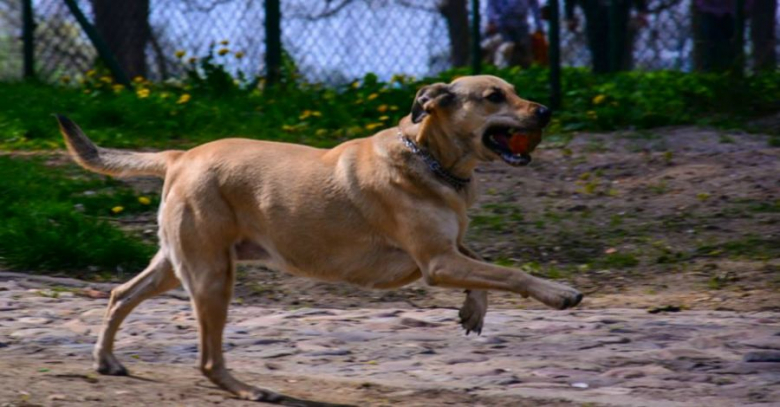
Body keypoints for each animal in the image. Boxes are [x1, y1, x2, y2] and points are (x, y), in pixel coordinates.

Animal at [56, 75, 580, 404]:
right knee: (206, 359)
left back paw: (105, 359)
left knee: (121, 294)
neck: (429, 158)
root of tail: (180, 156)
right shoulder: (436, 260)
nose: (547, 110)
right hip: (211, 276)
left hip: (177, 264)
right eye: (494, 96)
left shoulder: (447, 250)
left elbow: (485, 263)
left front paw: (474, 309)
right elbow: (509, 272)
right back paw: (250, 391)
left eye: (515, 92)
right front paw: (558, 293)